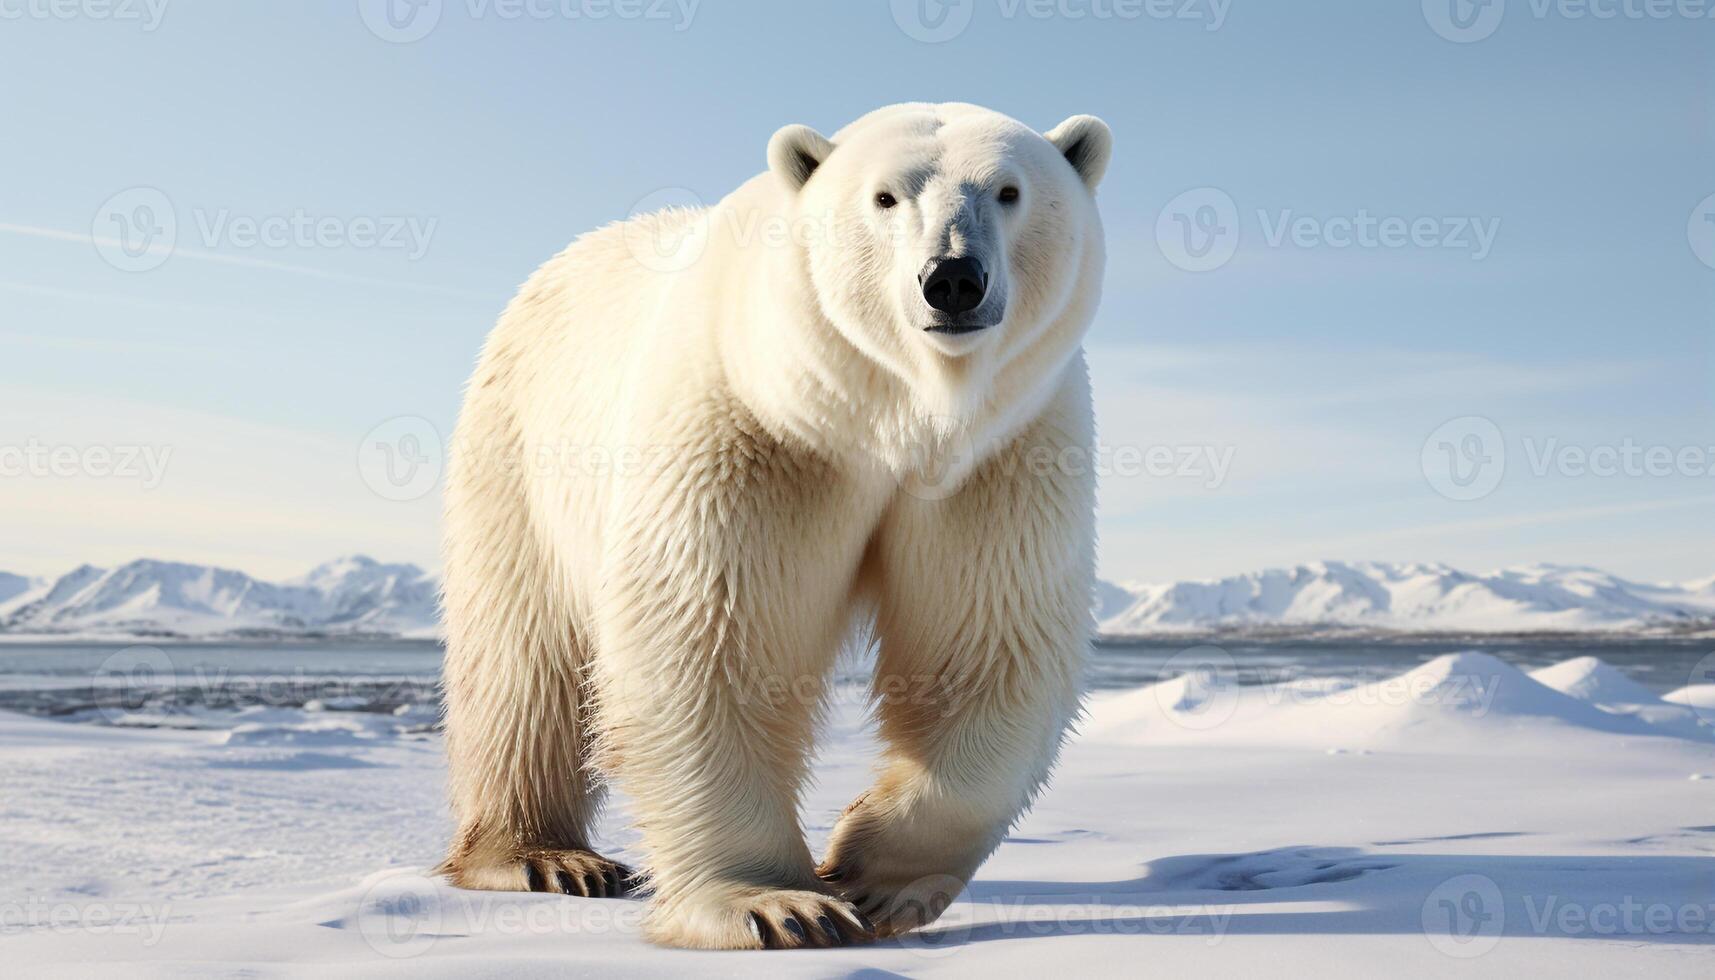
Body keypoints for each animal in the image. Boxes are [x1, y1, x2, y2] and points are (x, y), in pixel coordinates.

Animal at [439, 101, 1111, 954]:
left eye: (1008, 190)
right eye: (884, 197)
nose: (952, 280)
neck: (889, 419)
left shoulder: (1000, 457)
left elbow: (987, 639)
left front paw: (874, 876)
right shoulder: (750, 433)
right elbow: (710, 641)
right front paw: (778, 905)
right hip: (519, 451)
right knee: (522, 657)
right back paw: (543, 857)